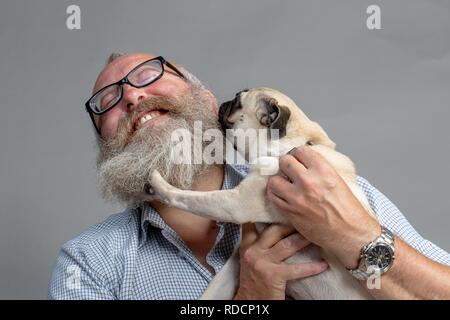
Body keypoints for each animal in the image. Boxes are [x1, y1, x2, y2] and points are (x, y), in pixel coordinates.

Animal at [145, 87, 376, 300]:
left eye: (237, 103)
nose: (223, 103)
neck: (288, 146)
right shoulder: (237, 262)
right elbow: (213, 291)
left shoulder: (234, 203)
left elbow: (188, 197)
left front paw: (158, 185)